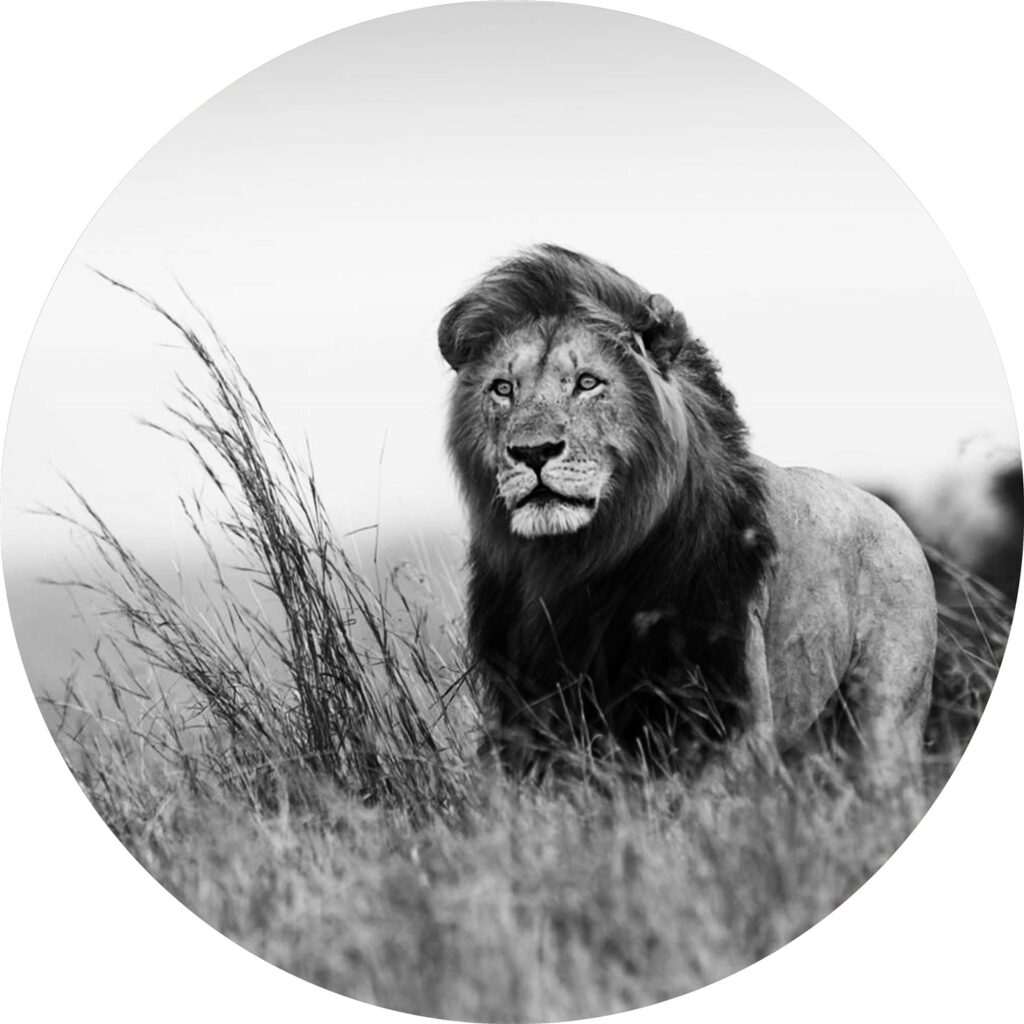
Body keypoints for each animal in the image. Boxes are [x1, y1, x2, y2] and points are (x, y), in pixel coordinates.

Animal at [439, 244, 937, 788]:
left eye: (588, 383)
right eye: (503, 389)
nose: (532, 452)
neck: (576, 564)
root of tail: (892, 517)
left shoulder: (727, 711)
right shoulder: (526, 712)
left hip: (887, 715)